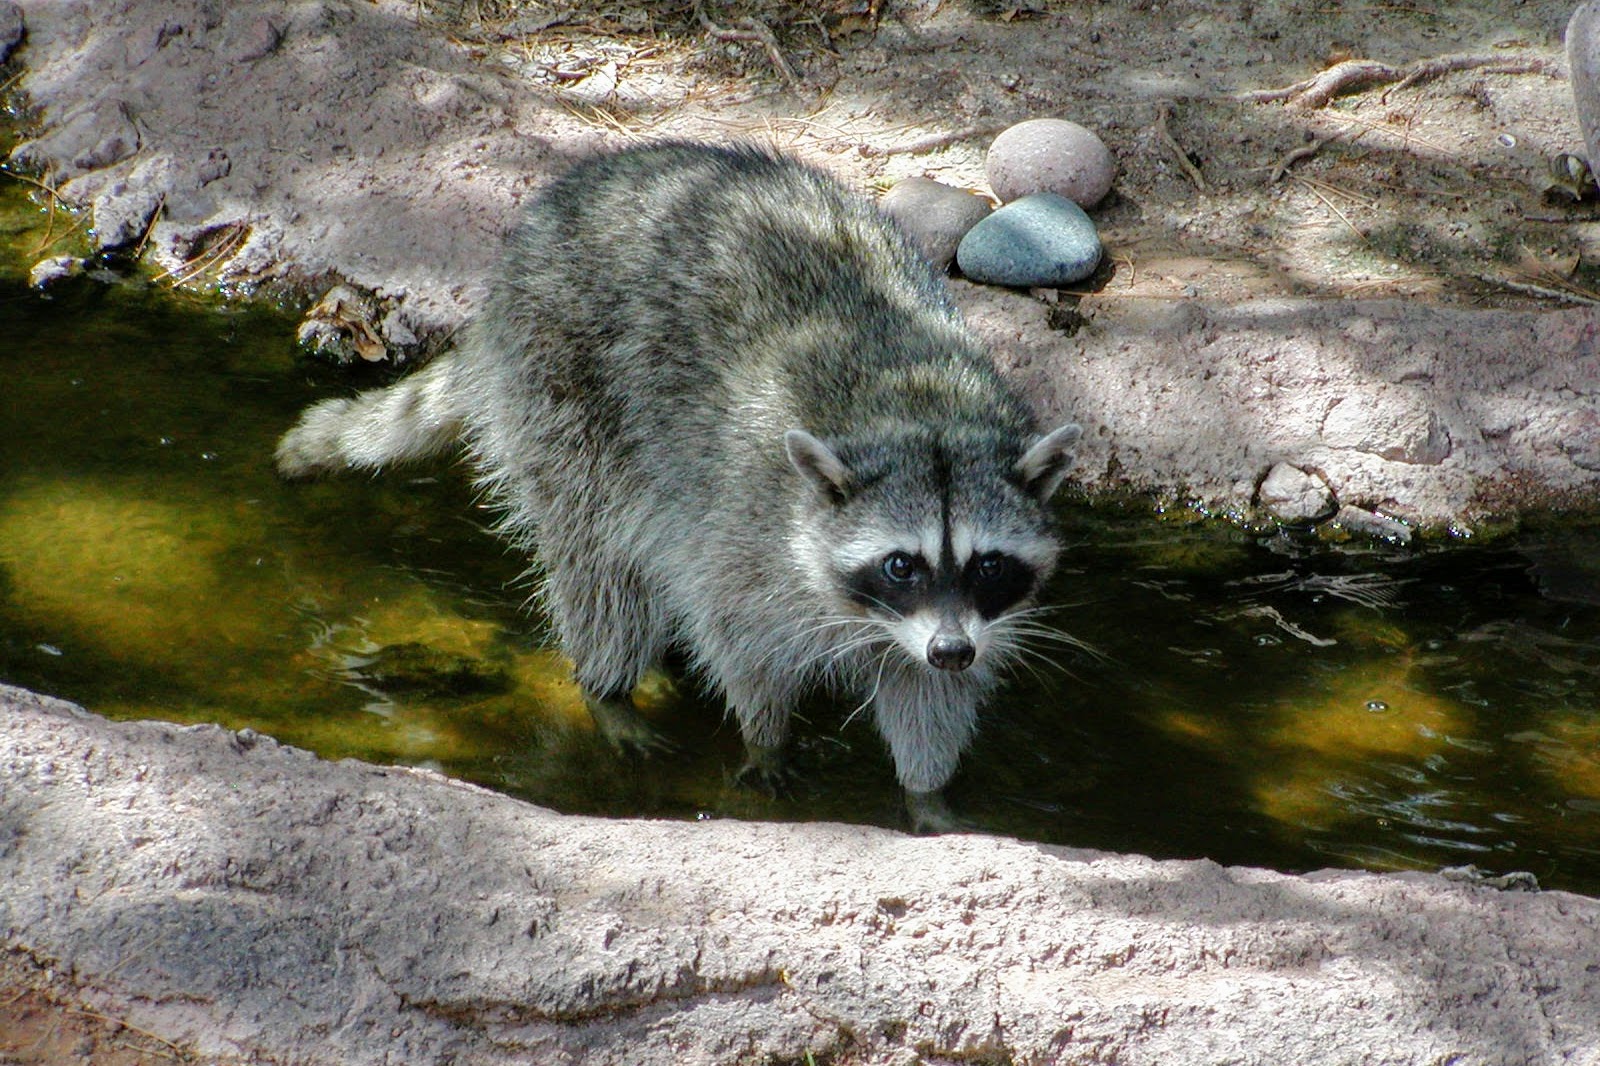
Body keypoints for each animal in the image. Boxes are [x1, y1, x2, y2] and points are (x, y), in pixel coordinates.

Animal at [276, 141, 1082, 831]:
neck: (919, 412)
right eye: (900, 564)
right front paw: (765, 733)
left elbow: (929, 699)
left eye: (987, 564)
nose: (951, 649)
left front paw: (928, 792)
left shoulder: (961, 620)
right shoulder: (748, 529)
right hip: (563, 391)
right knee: (598, 561)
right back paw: (608, 688)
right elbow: (736, 635)